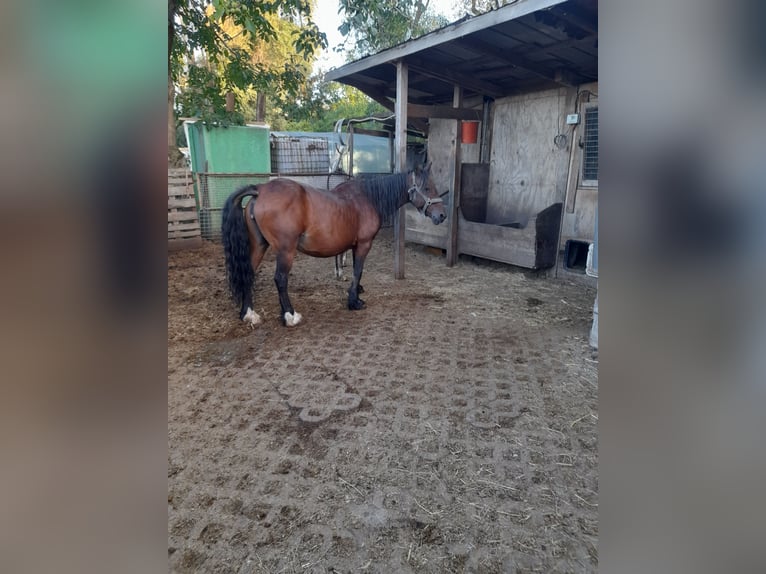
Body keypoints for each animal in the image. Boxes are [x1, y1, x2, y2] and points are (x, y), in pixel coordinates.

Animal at [220, 163, 447, 327]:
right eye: (427, 188)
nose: (442, 215)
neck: (368, 198)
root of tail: (260, 190)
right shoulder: (364, 244)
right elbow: (358, 271)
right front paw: (354, 302)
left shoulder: (355, 246)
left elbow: (356, 271)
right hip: (286, 250)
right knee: (280, 279)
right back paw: (290, 316)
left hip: (259, 245)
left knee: (248, 275)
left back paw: (249, 314)